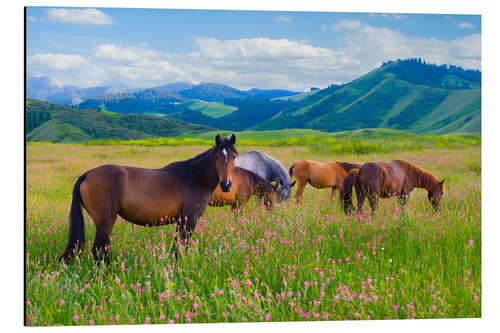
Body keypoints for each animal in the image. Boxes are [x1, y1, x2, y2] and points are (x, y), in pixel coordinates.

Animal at [58, 133, 238, 262]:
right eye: (216, 157)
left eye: (233, 157)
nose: (226, 185)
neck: (195, 177)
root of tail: (87, 175)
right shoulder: (189, 219)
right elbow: (182, 246)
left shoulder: (181, 220)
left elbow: (177, 246)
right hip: (105, 222)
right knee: (99, 250)